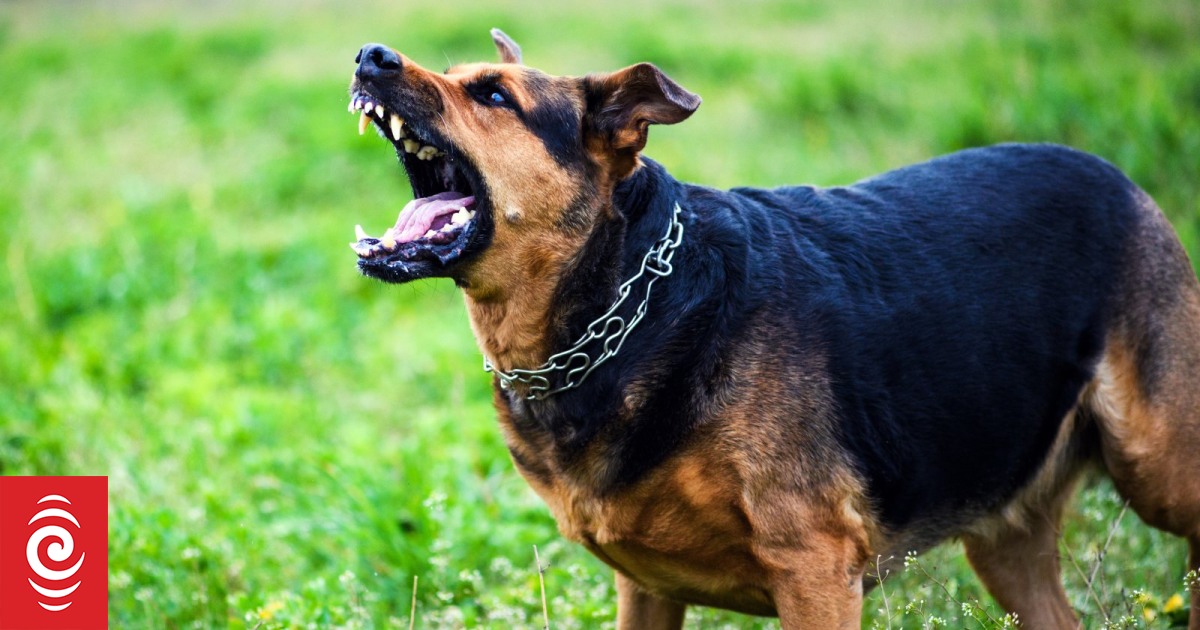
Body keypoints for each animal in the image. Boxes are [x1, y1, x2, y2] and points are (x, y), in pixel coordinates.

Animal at [345, 29, 1200, 628]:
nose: (369, 56)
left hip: (1158, 467)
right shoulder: (645, 589)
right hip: (1005, 531)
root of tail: (1118, 177)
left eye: (493, 97)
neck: (626, 300)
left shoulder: (815, 569)